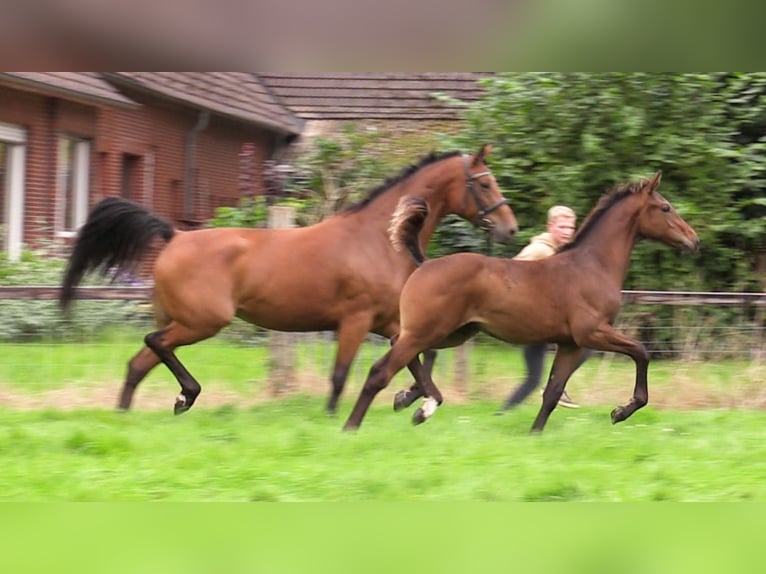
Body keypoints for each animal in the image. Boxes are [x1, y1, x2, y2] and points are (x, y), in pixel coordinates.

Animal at [58, 146, 516, 416]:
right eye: (484, 182)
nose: (509, 229)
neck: (378, 239)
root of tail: (174, 236)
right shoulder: (356, 320)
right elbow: (341, 376)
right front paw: (336, 419)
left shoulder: (392, 323)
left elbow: (417, 367)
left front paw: (408, 400)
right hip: (202, 321)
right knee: (154, 344)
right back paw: (187, 394)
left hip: (184, 320)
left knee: (138, 363)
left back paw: (131, 413)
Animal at [344, 173, 704, 434]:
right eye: (665, 208)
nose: (694, 240)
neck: (592, 265)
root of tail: (425, 263)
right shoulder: (592, 333)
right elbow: (642, 352)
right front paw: (621, 411)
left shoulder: (571, 343)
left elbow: (552, 392)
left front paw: (535, 433)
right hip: (429, 330)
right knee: (381, 370)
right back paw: (354, 426)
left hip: (451, 332)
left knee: (403, 348)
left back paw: (417, 404)